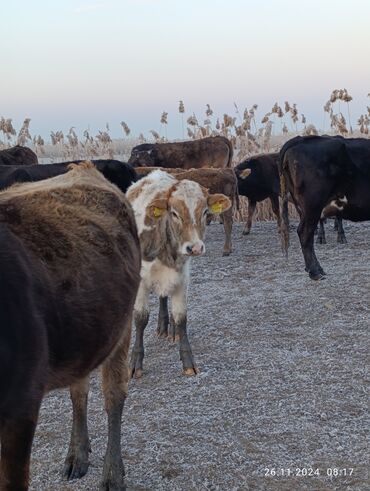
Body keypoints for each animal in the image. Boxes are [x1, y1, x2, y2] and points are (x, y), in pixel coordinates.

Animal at [0, 163, 142, 490]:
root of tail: (84, 168)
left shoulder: (20, 409)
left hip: (121, 328)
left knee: (113, 395)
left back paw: (112, 474)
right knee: (79, 390)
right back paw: (78, 454)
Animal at [127, 171, 231, 378]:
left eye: (205, 211)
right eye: (174, 213)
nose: (195, 247)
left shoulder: (182, 278)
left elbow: (181, 318)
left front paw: (188, 361)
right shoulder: (141, 281)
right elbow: (141, 319)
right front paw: (136, 362)